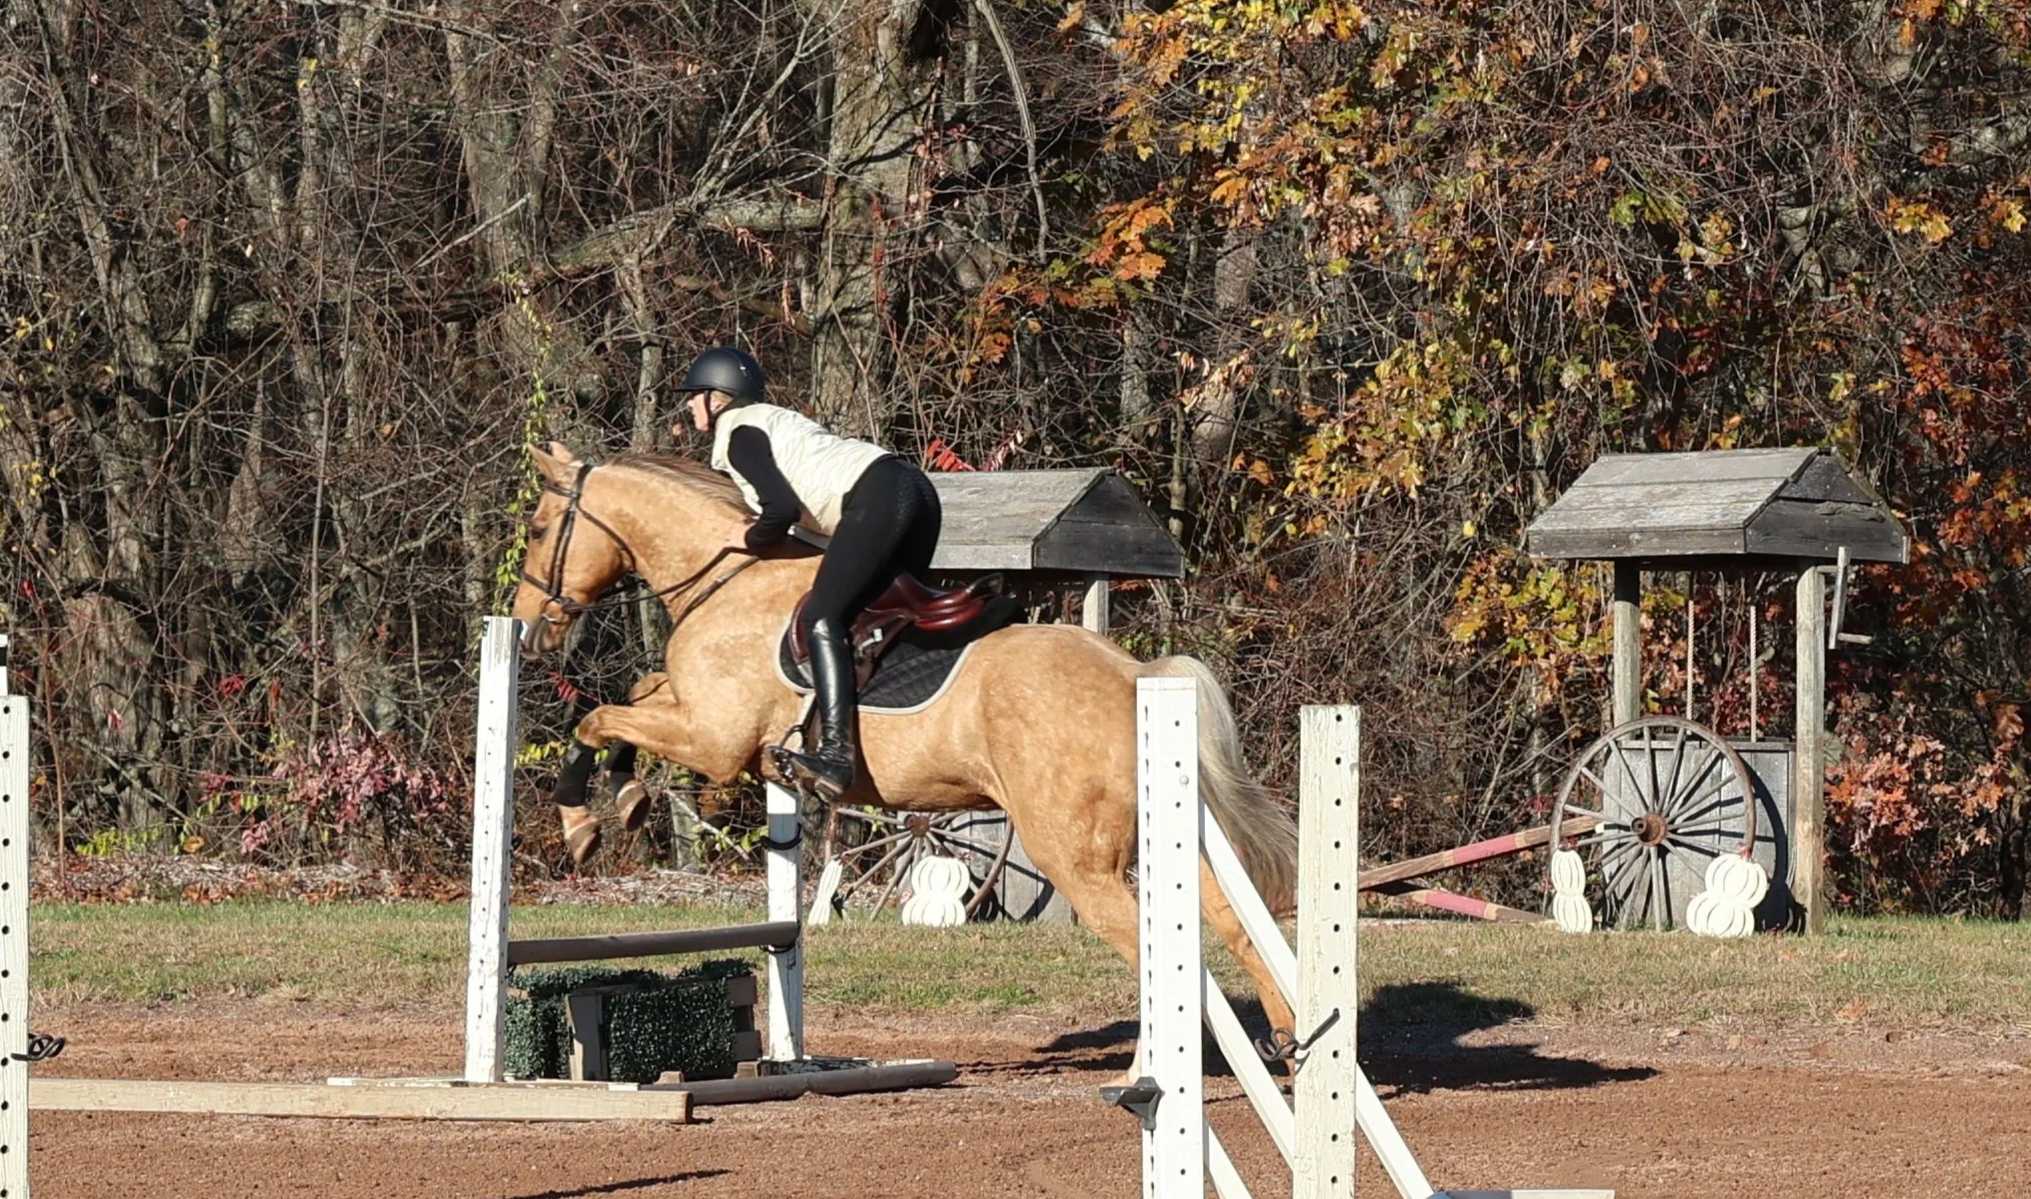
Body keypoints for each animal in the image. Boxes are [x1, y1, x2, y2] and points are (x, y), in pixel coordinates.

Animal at [508, 441, 1301, 1051]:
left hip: (1075, 859)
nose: (526, 627)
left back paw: (1150, 1075)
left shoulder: (714, 740)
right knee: (1233, 925)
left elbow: (599, 718)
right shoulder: (696, 716)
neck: (726, 578)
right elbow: (635, 696)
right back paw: (1288, 1041)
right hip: (1172, 840)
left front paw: (580, 820)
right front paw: (625, 796)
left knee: (1152, 950)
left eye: (541, 528)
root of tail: (1134, 674)